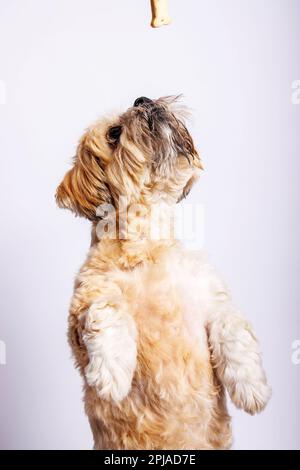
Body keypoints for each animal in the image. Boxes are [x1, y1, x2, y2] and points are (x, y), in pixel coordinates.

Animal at [55, 94, 270, 448]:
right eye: (114, 134)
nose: (142, 99)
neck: (149, 245)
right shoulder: (85, 301)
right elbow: (105, 310)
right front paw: (111, 373)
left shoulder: (214, 299)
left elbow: (233, 328)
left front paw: (253, 388)